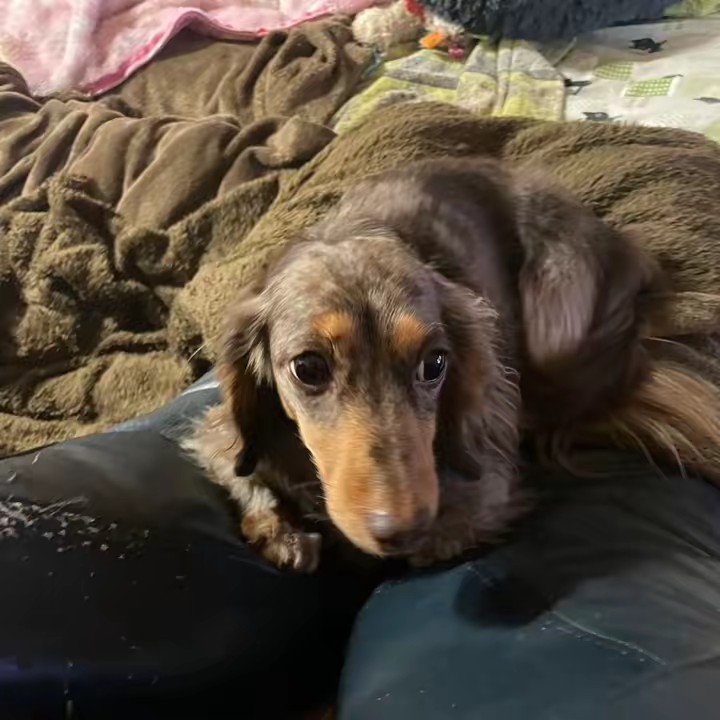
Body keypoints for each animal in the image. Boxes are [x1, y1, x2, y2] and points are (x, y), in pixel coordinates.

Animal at [187, 157, 720, 573]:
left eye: (435, 363)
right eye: (309, 368)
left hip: (558, 317)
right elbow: (236, 465)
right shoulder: (220, 431)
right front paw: (280, 530)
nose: (402, 530)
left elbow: (473, 506)